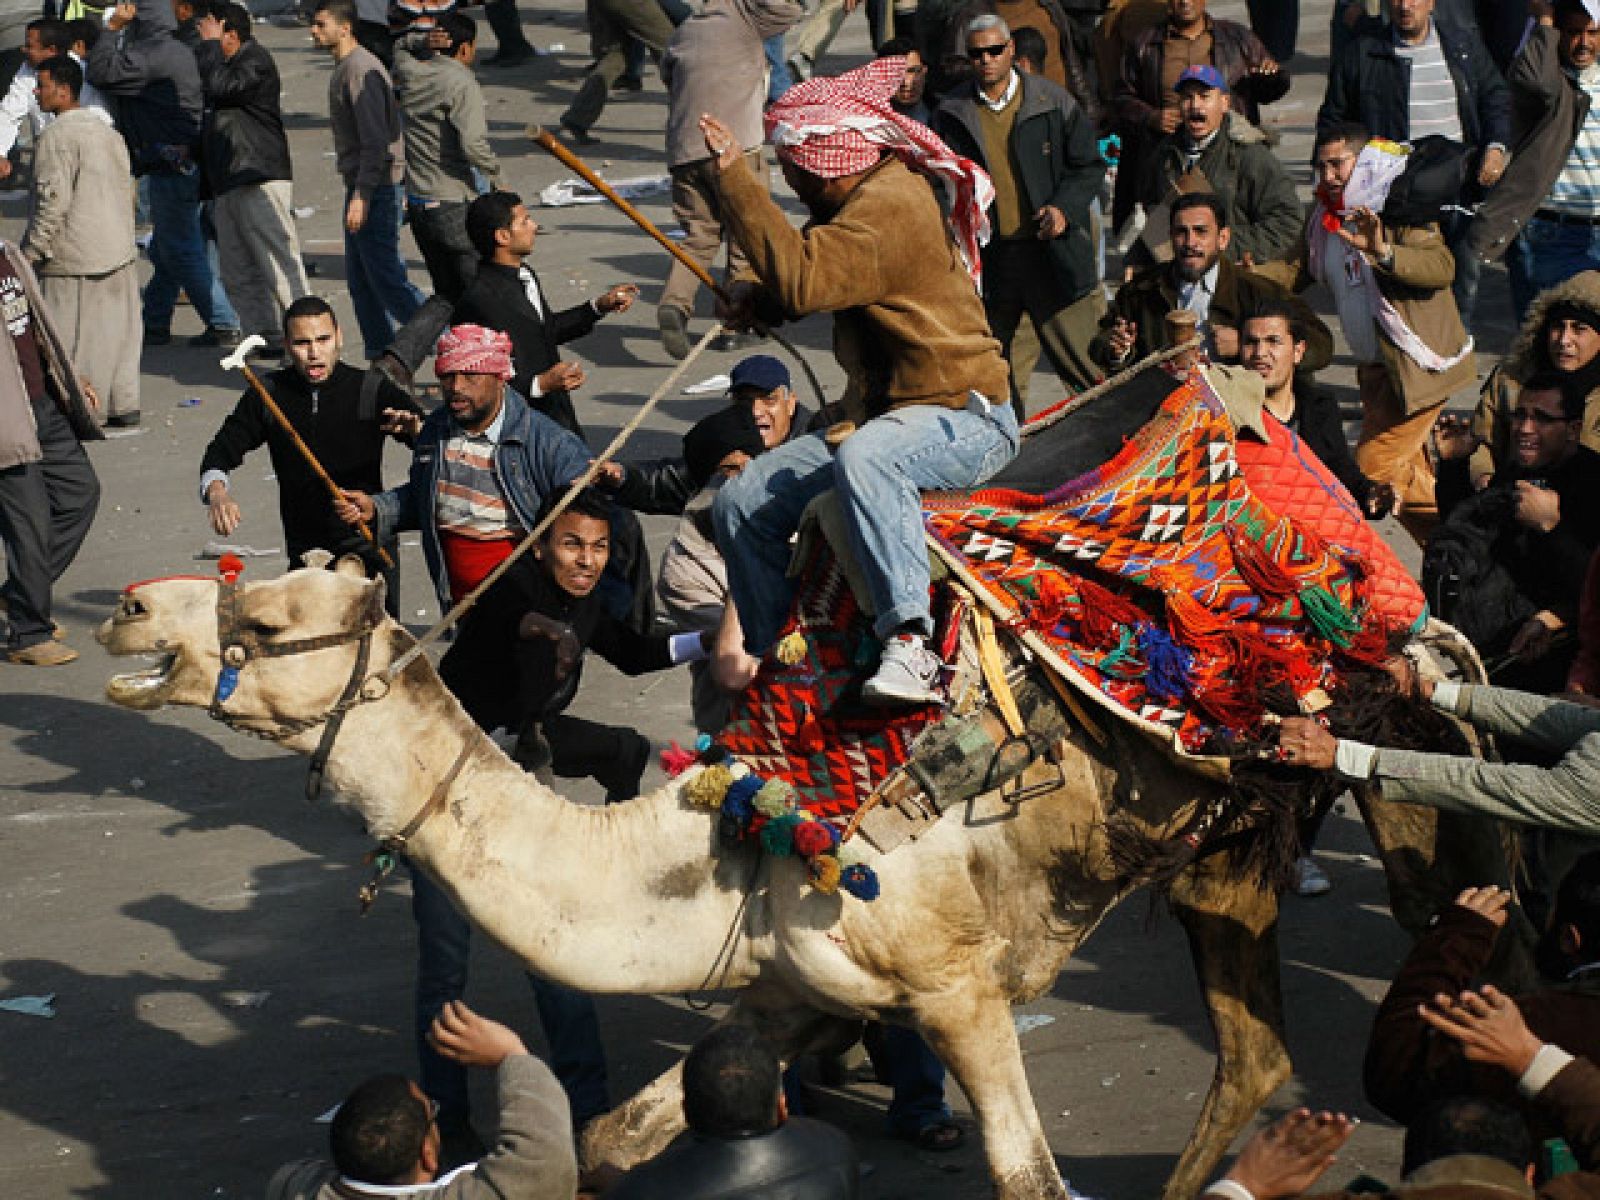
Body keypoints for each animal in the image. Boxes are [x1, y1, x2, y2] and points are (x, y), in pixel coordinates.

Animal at [100, 563, 1510, 1200]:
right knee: (1254, 1045)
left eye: (264, 620)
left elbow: (1025, 1176)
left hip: (1395, 750)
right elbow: (621, 1135)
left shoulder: (953, 985)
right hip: (1225, 848)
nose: (127, 606)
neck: (732, 837)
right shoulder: (788, 982)